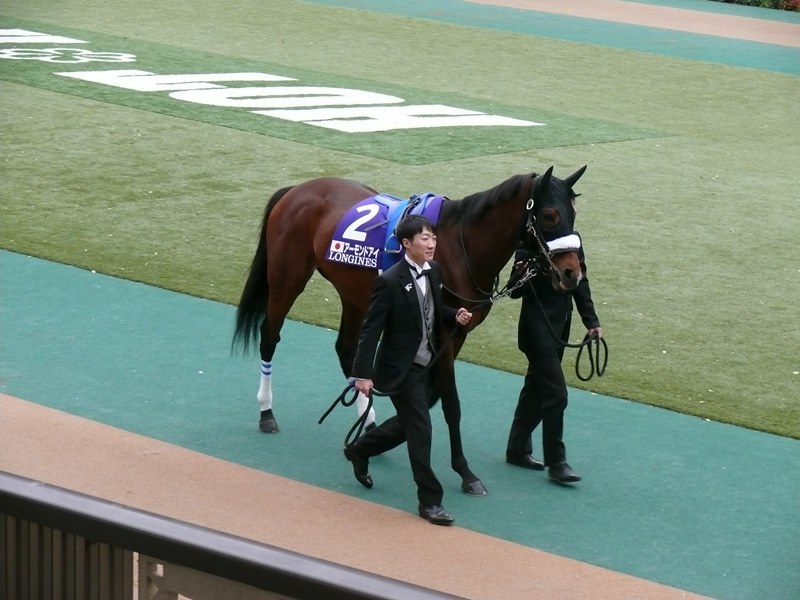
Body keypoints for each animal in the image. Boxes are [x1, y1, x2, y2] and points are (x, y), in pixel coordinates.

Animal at [233, 165, 587, 495]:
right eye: (550, 215)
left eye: (573, 213)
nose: (572, 273)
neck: (460, 246)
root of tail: (297, 189)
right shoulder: (445, 332)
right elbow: (450, 405)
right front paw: (465, 472)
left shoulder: (458, 333)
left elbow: (431, 395)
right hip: (286, 279)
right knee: (270, 336)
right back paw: (266, 412)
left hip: (355, 293)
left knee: (348, 350)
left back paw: (367, 422)